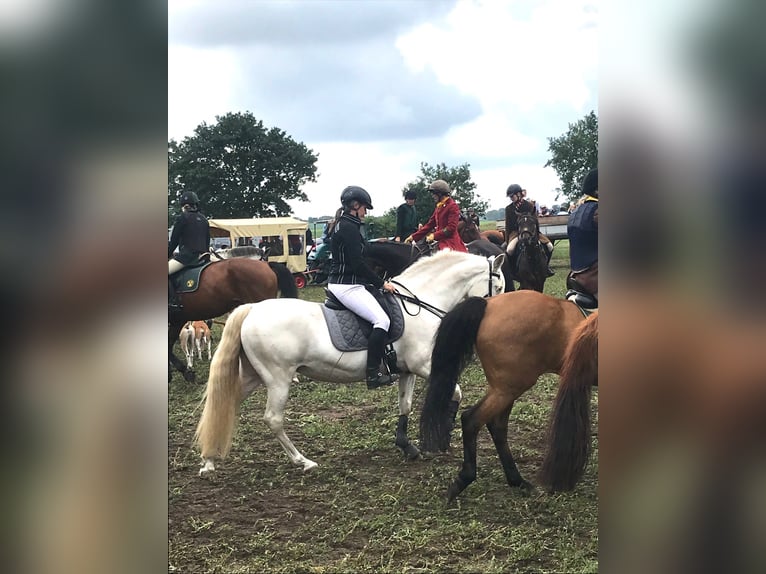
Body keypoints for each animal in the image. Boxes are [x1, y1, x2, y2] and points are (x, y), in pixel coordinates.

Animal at [195, 251, 508, 476]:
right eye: (500, 284)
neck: (418, 304)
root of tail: (251, 310)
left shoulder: (407, 370)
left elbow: (405, 405)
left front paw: (407, 446)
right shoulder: (424, 366)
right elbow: (454, 393)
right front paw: (441, 437)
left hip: (253, 375)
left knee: (226, 402)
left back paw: (209, 460)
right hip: (278, 379)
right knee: (273, 418)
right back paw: (303, 461)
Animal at [420, 290, 588, 502]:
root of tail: (489, 304)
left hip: (505, 388)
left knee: (496, 425)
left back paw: (517, 480)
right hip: (509, 387)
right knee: (472, 420)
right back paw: (465, 479)